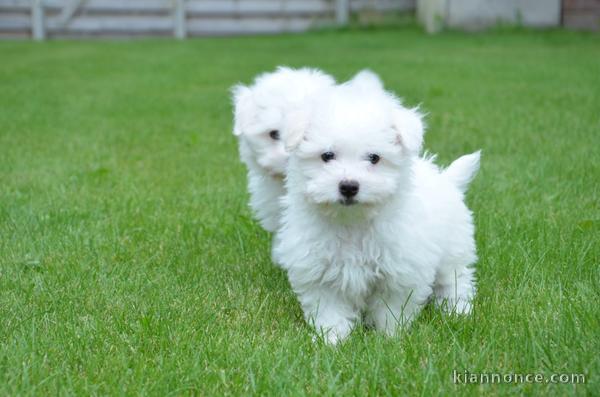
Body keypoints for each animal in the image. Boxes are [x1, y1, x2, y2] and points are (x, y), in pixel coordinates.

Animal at [274, 71, 480, 344]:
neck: (352, 221)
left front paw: (389, 338)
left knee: (455, 280)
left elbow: (391, 308)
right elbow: (329, 309)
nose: (349, 186)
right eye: (327, 156)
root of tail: (446, 179)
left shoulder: (400, 272)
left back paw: (457, 312)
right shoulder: (319, 273)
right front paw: (332, 340)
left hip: (454, 249)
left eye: (374, 158)